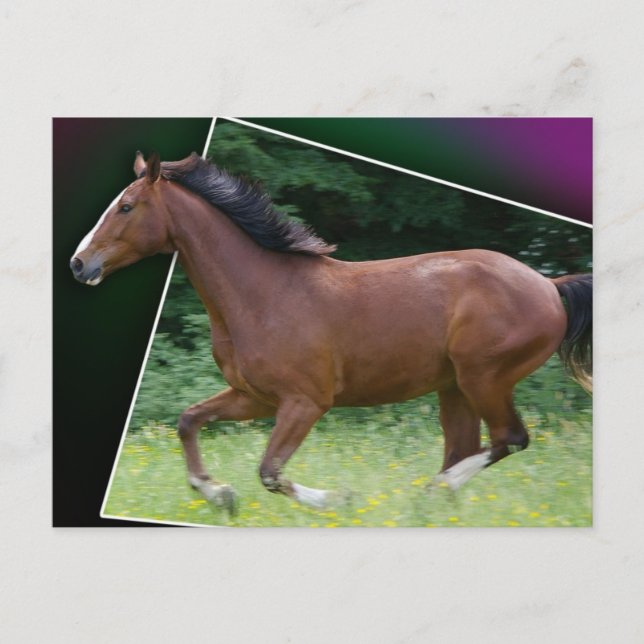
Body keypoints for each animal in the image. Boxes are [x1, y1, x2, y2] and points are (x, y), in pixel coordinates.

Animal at [70, 151, 592, 514]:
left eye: (126, 207)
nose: (79, 264)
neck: (264, 293)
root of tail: (548, 284)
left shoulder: (306, 402)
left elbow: (270, 472)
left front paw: (339, 500)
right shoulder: (255, 397)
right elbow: (188, 421)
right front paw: (218, 494)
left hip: (484, 378)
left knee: (510, 438)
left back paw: (427, 493)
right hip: (454, 387)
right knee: (466, 448)